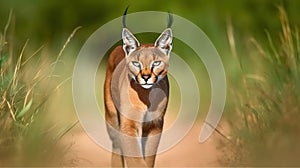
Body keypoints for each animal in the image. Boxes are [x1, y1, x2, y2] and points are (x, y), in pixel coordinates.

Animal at [103, 8, 172, 167]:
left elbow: (148, 159)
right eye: (136, 63)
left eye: (156, 63)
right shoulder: (129, 125)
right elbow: (136, 159)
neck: (146, 96)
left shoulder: (155, 124)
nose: (146, 77)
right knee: (117, 148)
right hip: (112, 119)